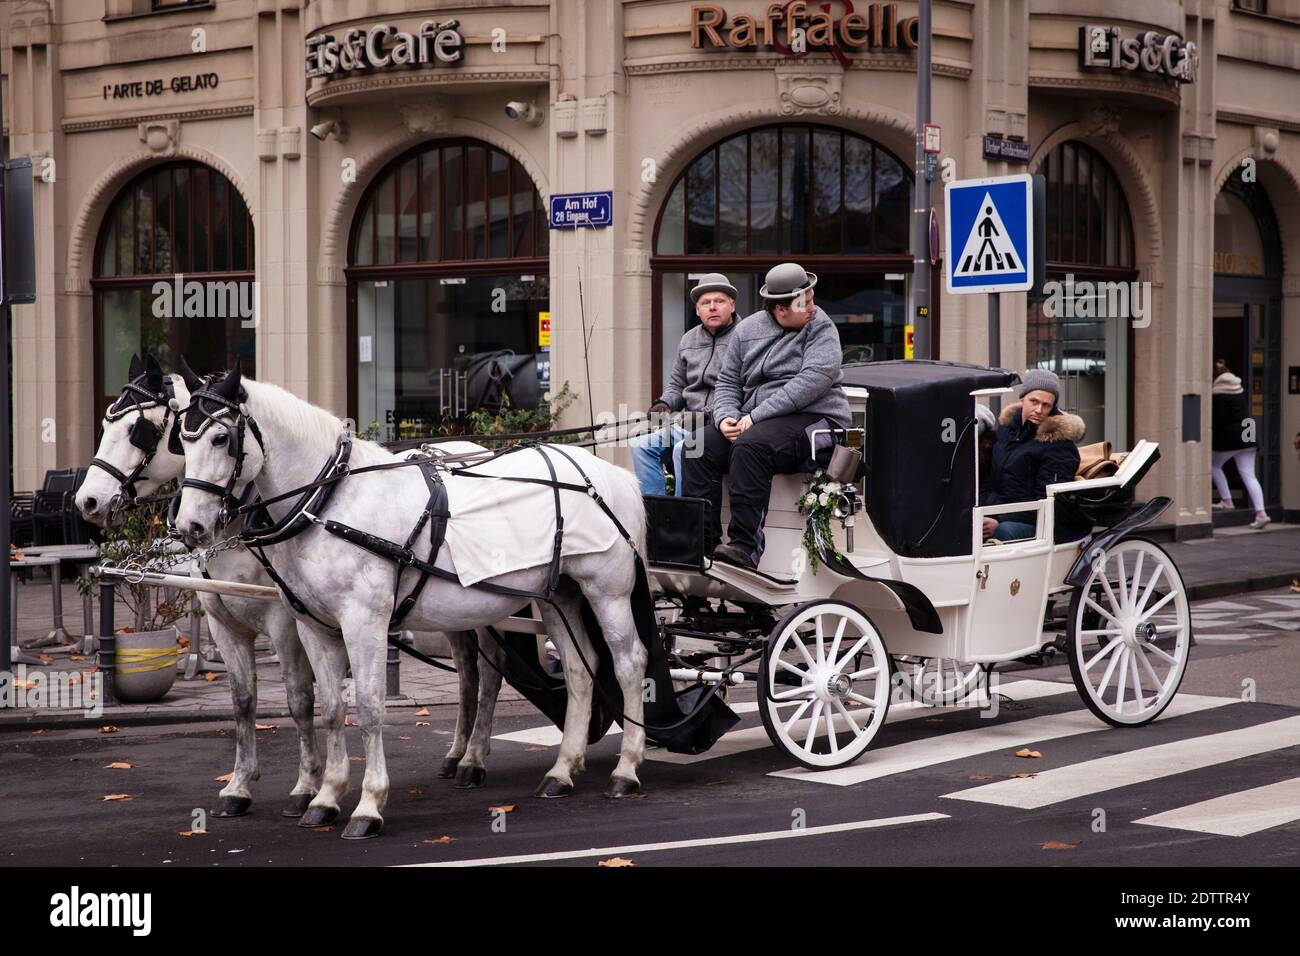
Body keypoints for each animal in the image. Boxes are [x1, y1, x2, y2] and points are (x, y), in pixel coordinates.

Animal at [175, 364, 650, 837]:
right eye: (181, 440)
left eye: (220, 438)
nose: (190, 526)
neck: (329, 502)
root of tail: (612, 475)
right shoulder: (313, 627)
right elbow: (330, 708)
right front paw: (325, 797)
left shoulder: (361, 622)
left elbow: (368, 708)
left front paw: (368, 805)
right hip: (556, 598)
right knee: (579, 669)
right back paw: (562, 770)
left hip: (607, 592)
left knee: (628, 664)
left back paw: (626, 770)